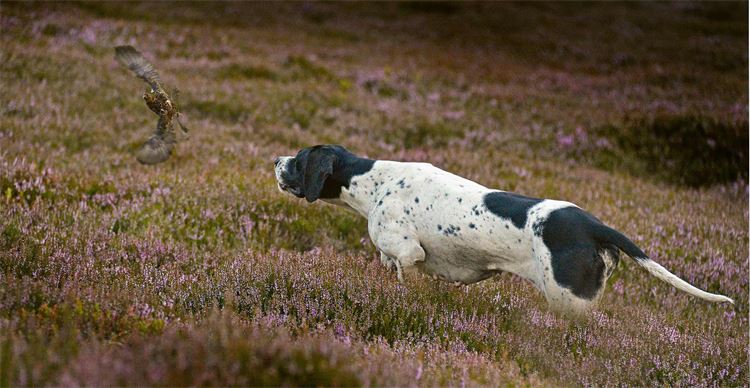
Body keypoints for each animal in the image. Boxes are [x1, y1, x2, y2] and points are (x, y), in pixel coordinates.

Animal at [274, 144, 736, 314]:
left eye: (298, 159)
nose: (274, 160)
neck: (372, 182)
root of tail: (595, 225)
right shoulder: (395, 260)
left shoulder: (408, 255)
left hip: (567, 301)